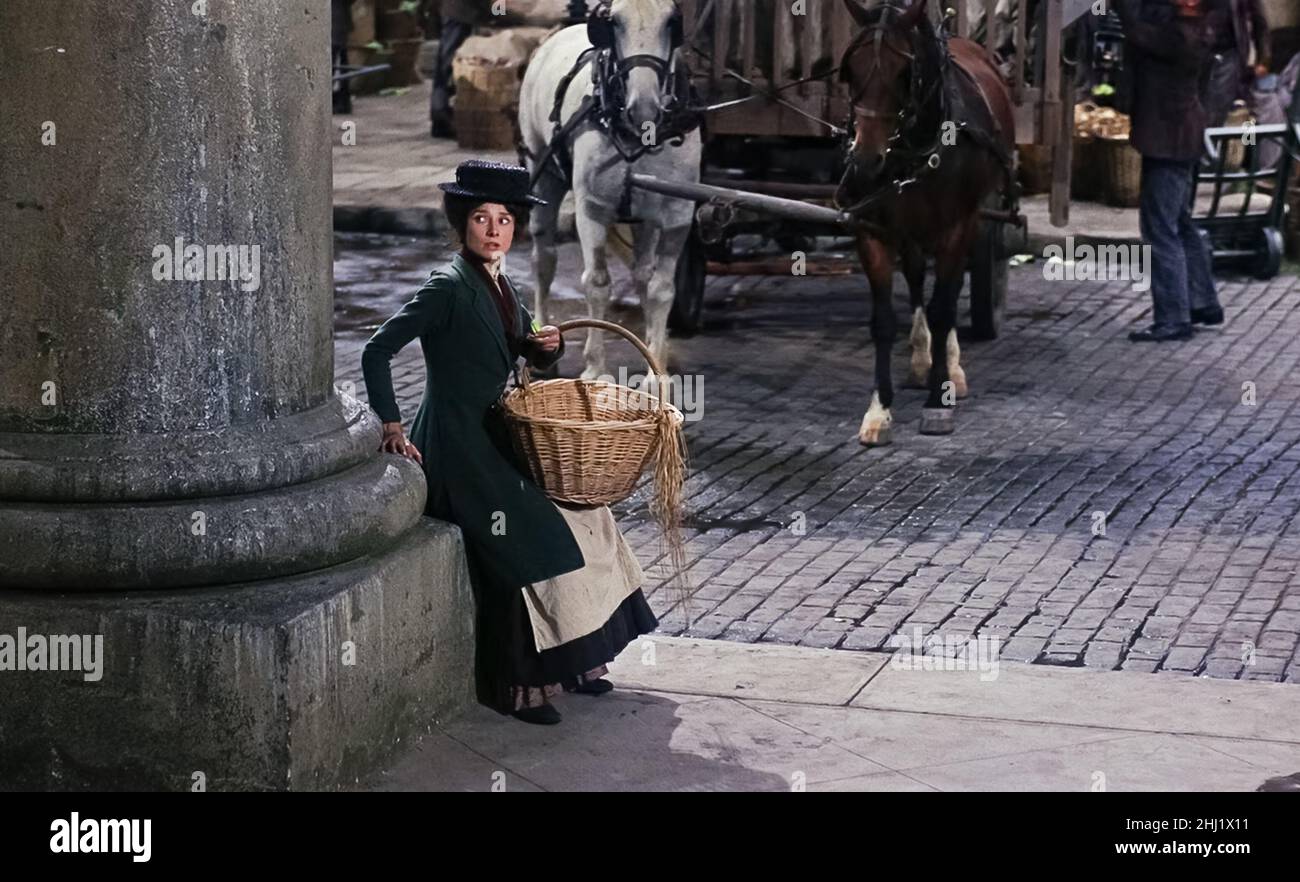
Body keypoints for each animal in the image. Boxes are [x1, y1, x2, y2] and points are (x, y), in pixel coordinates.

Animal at [517, 0, 702, 379]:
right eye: (614, 22)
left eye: (671, 21)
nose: (643, 107)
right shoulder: (593, 208)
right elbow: (597, 283)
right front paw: (594, 368)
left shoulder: (678, 210)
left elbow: (661, 288)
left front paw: (656, 369)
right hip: (542, 172)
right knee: (544, 258)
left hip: (645, 218)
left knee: (642, 273)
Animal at [837, 0, 1019, 442]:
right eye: (851, 70)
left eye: (904, 73)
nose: (864, 162)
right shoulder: (872, 230)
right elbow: (884, 320)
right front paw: (879, 409)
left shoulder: (957, 226)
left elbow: (944, 308)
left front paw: (939, 401)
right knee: (919, 275)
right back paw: (921, 356)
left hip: (971, 220)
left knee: (949, 294)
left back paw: (950, 364)